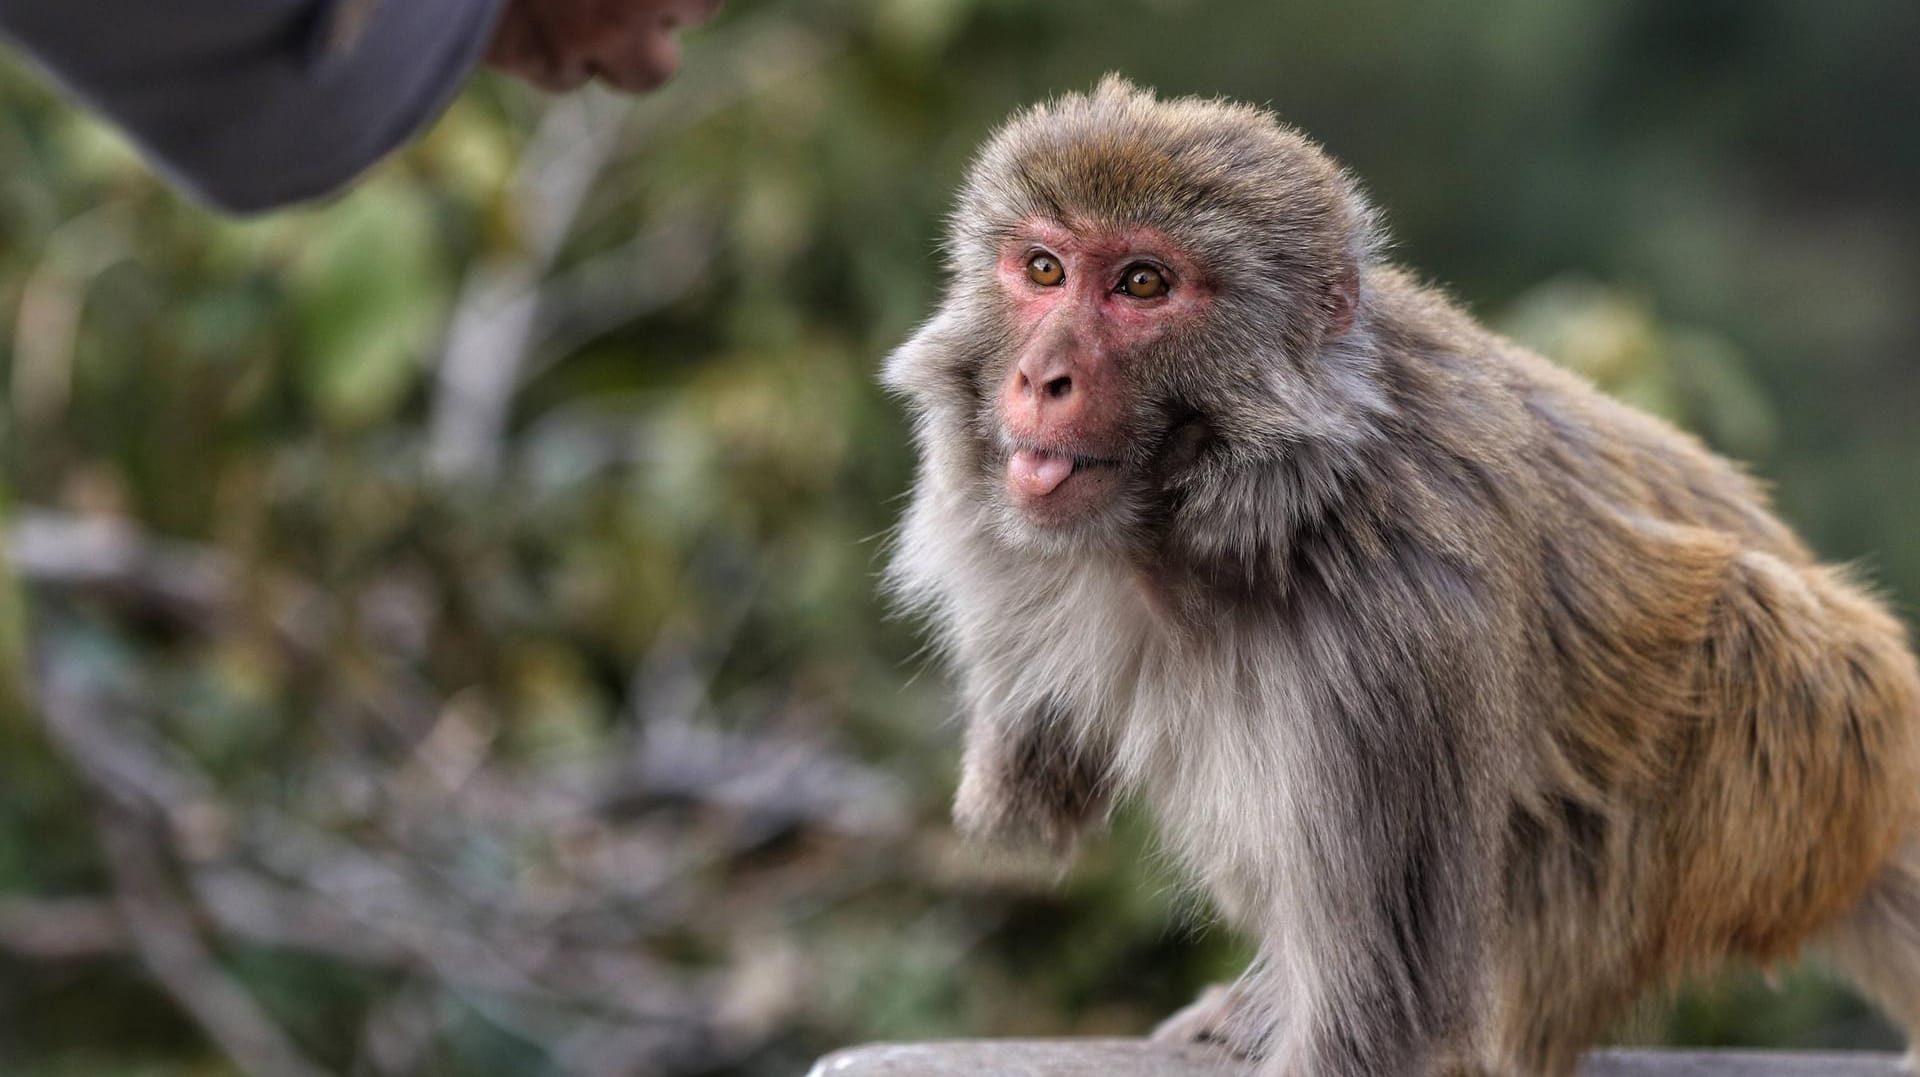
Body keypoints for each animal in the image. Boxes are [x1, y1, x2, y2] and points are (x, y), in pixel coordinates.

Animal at [879, 75, 1920, 1075]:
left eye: (1143, 283)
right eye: (1043, 269)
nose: (1040, 378)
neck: (1256, 510)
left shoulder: (1395, 644)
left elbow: (1382, 1025)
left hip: (1805, 787)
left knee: (1743, 621)